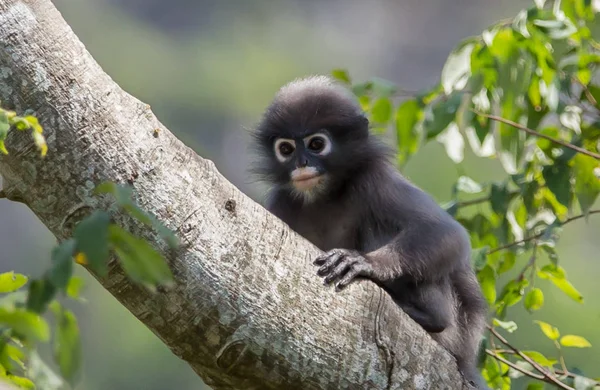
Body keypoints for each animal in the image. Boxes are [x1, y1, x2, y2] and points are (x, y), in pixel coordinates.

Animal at [251, 74, 490, 388]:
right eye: (286, 149)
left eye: (316, 144)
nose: (301, 163)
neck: (325, 194)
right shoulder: (281, 203)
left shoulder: (375, 178)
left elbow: (445, 233)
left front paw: (365, 262)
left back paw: (430, 316)